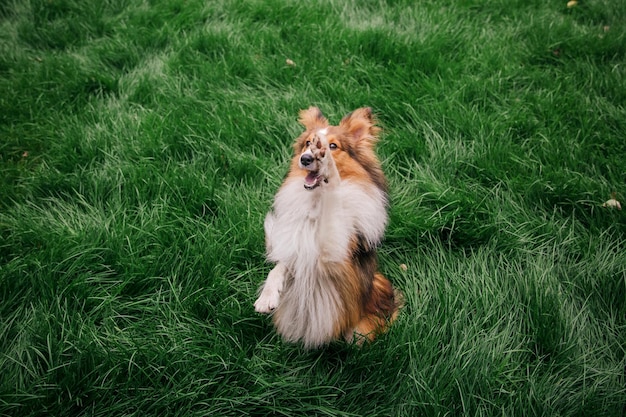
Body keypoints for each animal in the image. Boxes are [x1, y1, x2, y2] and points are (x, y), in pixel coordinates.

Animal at [254, 107, 400, 348]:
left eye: (332, 146)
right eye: (307, 144)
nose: (305, 159)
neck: (317, 201)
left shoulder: (336, 257)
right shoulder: (300, 243)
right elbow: (280, 265)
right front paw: (267, 297)